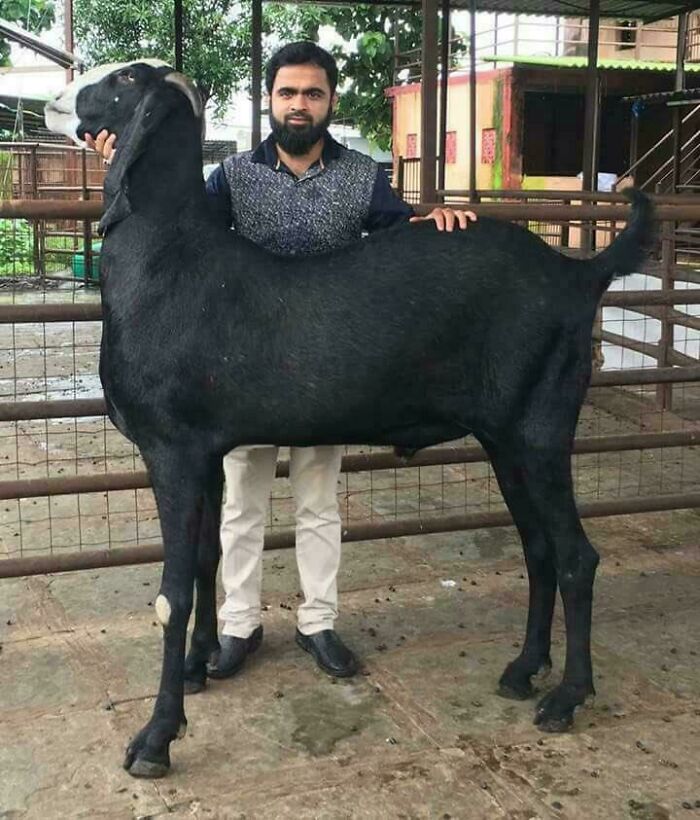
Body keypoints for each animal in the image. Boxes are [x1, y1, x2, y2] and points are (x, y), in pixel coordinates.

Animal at [46, 60, 652, 780]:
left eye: (124, 81)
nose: (58, 97)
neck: (169, 258)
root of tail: (578, 275)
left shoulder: (171, 450)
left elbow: (171, 594)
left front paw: (156, 738)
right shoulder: (208, 450)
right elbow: (207, 557)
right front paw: (200, 664)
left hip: (543, 429)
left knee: (577, 557)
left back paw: (567, 696)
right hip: (505, 437)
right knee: (539, 549)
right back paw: (524, 668)